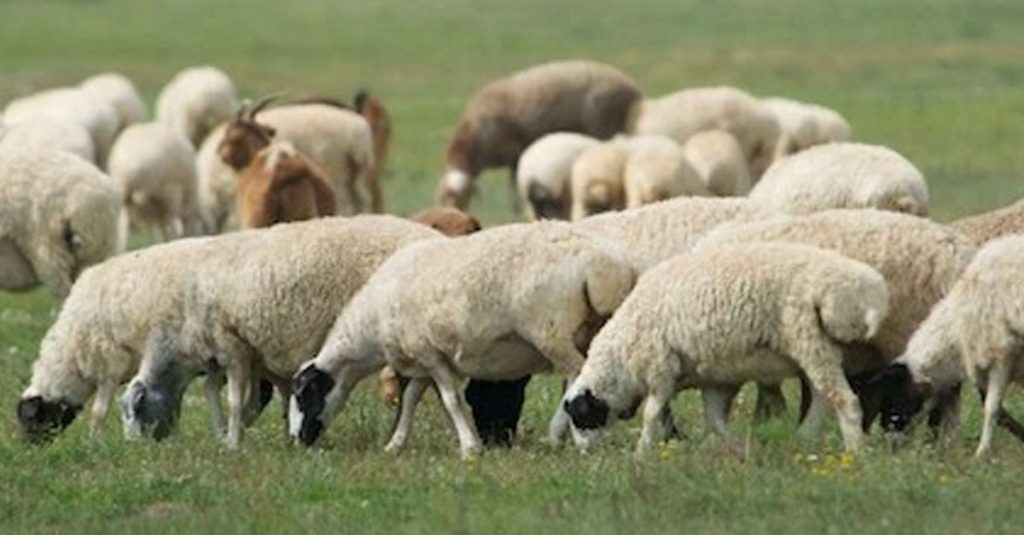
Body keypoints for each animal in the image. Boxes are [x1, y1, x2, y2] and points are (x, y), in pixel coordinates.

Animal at [121, 216, 442, 448]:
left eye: (135, 411)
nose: (136, 449)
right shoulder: (254, 355)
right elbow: (256, 395)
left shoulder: (233, 347)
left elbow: (236, 401)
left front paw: (233, 442)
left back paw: (397, 437)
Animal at [289, 222, 636, 457]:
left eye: (304, 396)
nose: (296, 441)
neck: (371, 324)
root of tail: (605, 264)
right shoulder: (426, 359)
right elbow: (411, 398)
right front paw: (395, 444)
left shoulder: (428, 355)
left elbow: (450, 400)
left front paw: (470, 447)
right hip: (594, 329)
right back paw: (558, 437)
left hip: (553, 334)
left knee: (580, 377)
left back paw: (573, 438)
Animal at [439, 60, 642, 209]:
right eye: (444, 198)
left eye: (462, 197)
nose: (453, 213)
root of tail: (631, 87)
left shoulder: (515, 154)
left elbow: (514, 191)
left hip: (603, 126)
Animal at [563, 242, 889, 454]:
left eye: (580, 418)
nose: (586, 455)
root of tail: (858, 290)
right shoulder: (715, 380)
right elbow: (715, 419)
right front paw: (739, 450)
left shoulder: (661, 369)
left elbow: (651, 415)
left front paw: (641, 454)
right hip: (815, 347)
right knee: (823, 398)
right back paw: (804, 439)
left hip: (809, 342)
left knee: (846, 401)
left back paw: (855, 453)